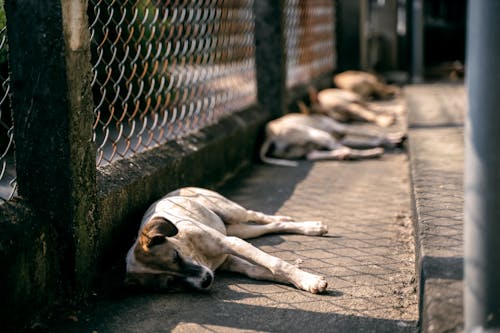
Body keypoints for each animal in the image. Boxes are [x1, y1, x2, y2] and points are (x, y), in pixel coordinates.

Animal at [124, 187, 328, 294]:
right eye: (170, 283)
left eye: (175, 257)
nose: (206, 280)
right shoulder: (229, 260)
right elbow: (258, 271)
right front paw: (302, 282)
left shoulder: (231, 243)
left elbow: (276, 264)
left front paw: (309, 280)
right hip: (239, 230)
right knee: (269, 227)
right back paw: (307, 227)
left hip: (231, 211)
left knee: (256, 215)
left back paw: (309, 226)